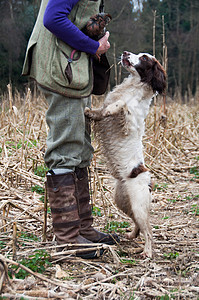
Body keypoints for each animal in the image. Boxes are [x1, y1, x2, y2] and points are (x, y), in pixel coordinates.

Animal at [84, 51, 166, 258]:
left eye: (144, 58)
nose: (125, 53)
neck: (133, 88)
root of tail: (148, 182)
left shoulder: (129, 123)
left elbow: (120, 105)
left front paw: (109, 109)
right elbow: (102, 111)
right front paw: (91, 112)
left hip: (138, 204)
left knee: (149, 231)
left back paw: (147, 252)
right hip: (122, 201)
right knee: (138, 225)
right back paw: (131, 235)